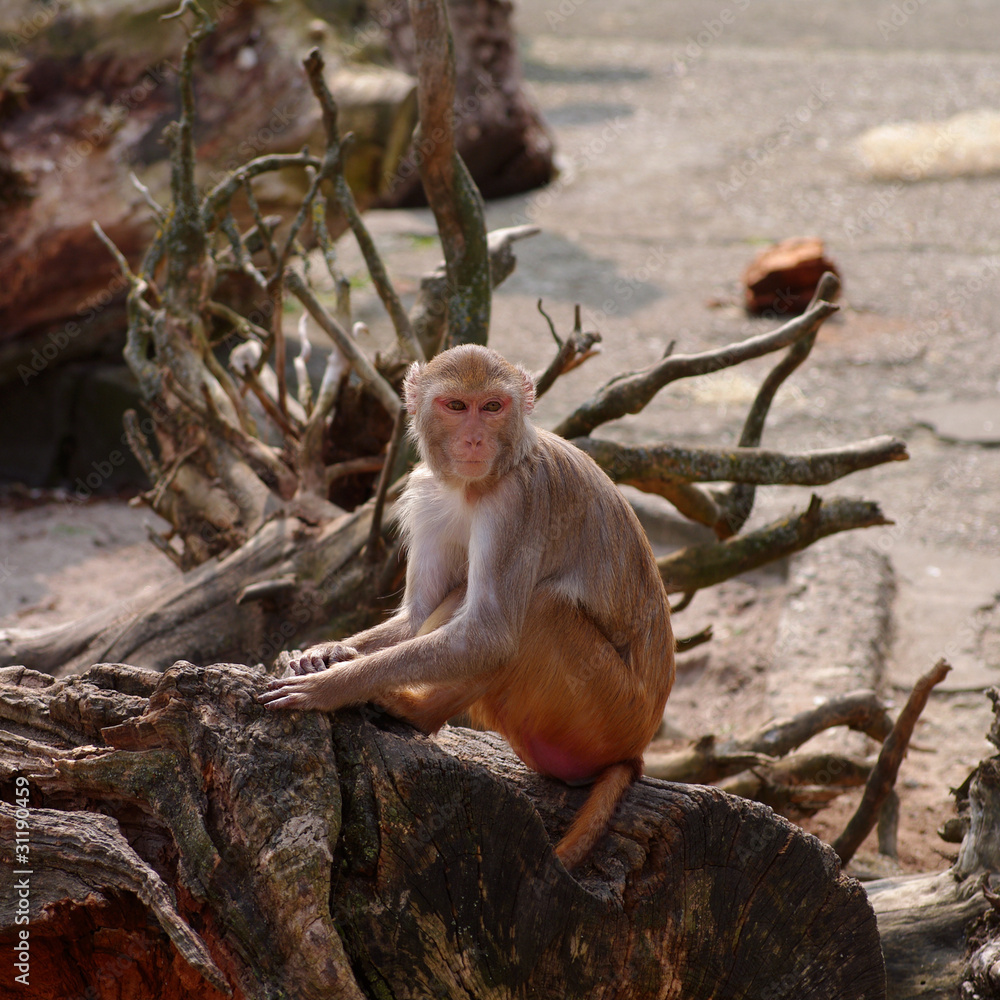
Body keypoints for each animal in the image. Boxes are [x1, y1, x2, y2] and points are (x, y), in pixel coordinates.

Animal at [260, 344, 675, 870]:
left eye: (492, 407)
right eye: (456, 406)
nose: (475, 438)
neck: (475, 483)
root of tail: (638, 747)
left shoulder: (517, 500)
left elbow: (490, 635)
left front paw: (332, 686)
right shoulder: (426, 492)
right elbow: (418, 616)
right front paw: (324, 652)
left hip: (609, 711)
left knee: (537, 609)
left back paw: (414, 712)